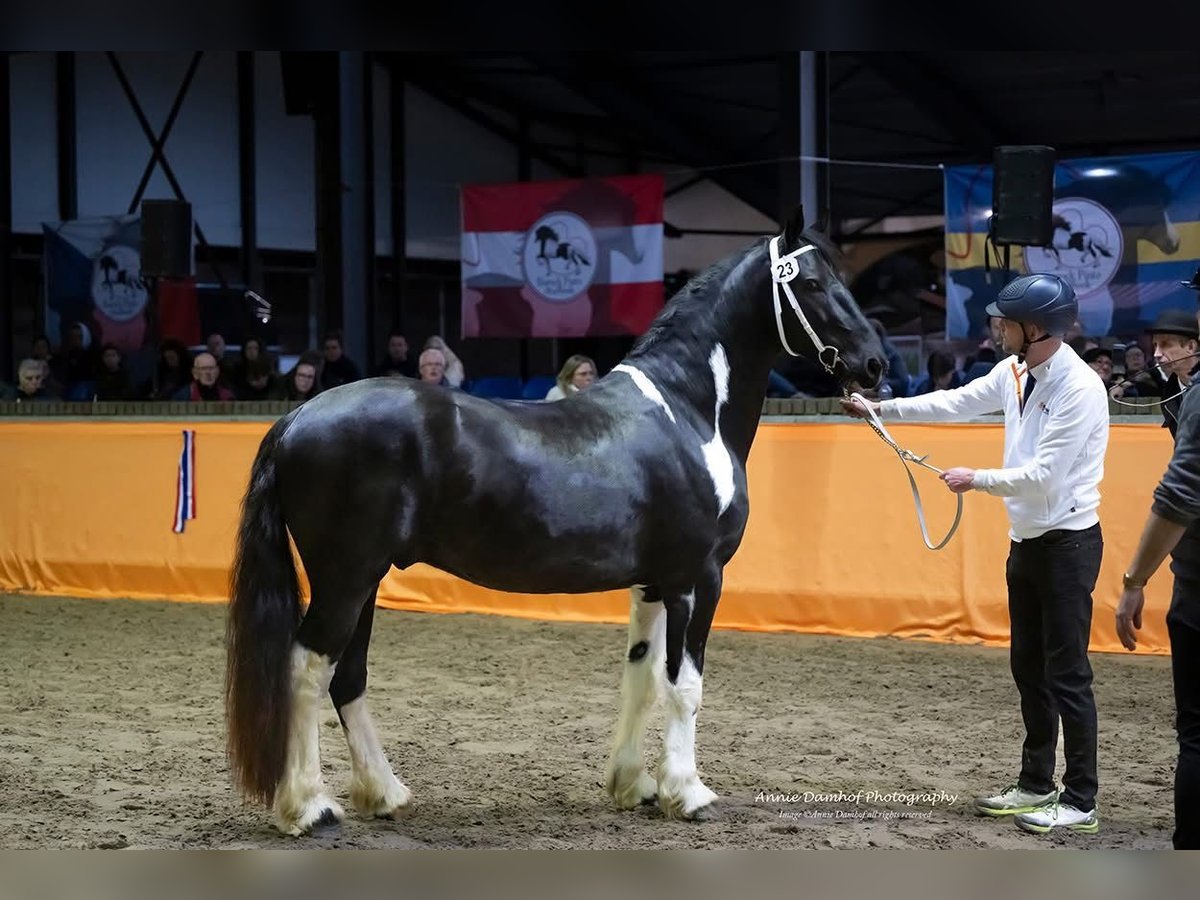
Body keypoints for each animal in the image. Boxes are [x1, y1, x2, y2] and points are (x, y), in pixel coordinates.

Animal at [225, 207, 888, 835]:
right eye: (812, 281)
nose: (875, 364)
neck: (689, 410)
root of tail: (296, 418)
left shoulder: (653, 583)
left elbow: (643, 677)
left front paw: (635, 786)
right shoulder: (697, 579)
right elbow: (685, 685)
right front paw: (688, 792)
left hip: (365, 579)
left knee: (348, 676)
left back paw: (384, 794)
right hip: (345, 577)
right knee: (306, 670)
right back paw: (309, 808)